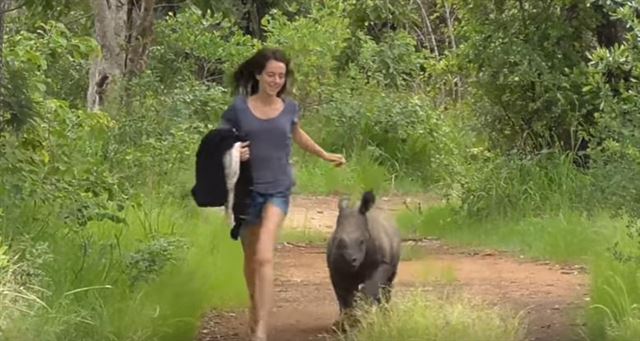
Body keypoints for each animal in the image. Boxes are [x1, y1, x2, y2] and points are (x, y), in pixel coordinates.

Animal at [324, 190, 400, 318]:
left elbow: (373, 285)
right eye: (337, 240)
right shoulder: (334, 267)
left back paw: (384, 313)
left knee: (387, 284)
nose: (351, 260)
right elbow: (342, 295)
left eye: (362, 241)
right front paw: (348, 318)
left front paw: (365, 309)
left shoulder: (384, 262)